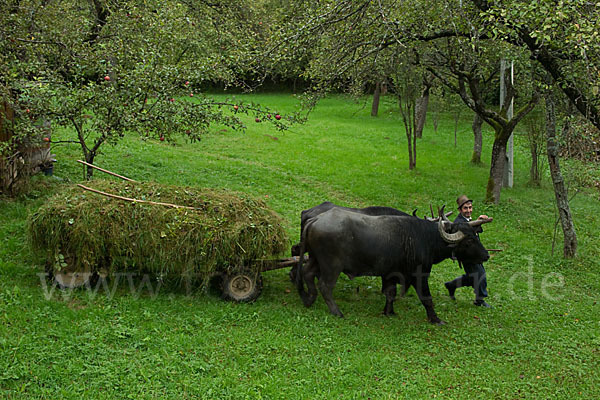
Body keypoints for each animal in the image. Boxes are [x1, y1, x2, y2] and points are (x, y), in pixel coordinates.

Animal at [296, 206, 492, 324]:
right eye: (468, 241)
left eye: (475, 235)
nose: (486, 255)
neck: (423, 237)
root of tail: (315, 219)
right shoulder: (419, 275)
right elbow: (426, 298)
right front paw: (436, 319)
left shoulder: (390, 274)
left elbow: (390, 294)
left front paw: (389, 312)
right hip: (332, 265)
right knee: (325, 286)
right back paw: (336, 311)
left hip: (315, 259)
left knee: (307, 273)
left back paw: (308, 299)